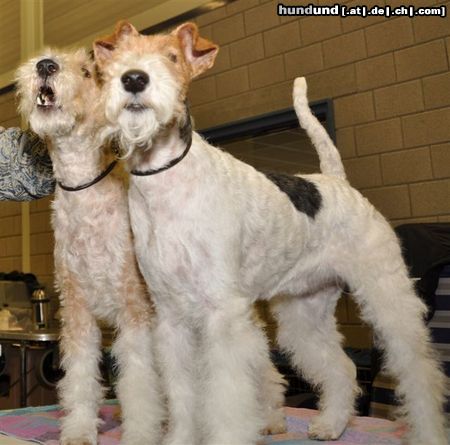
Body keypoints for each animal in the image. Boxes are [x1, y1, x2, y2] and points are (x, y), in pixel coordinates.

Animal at [16, 48, 163, 444]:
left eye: (86, 72)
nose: (45, 65)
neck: (84, 193)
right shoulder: (77, 310)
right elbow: (81, 377)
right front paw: (79, 431)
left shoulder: (134, 309)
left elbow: (138, 383)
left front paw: (140, 433)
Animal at [96, 21, 446, 444]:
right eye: (116, 57)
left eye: (172, 57)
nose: (133, 79)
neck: (164, 181)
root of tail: (335, 180)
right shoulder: (171, 316)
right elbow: (182, 395)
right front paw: (180, 438)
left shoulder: (223, 314)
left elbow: (227, 399)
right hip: (305, 311)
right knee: (341, 367)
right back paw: (331, 424)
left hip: (385, 292)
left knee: (419, 369)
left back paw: (429, 431)